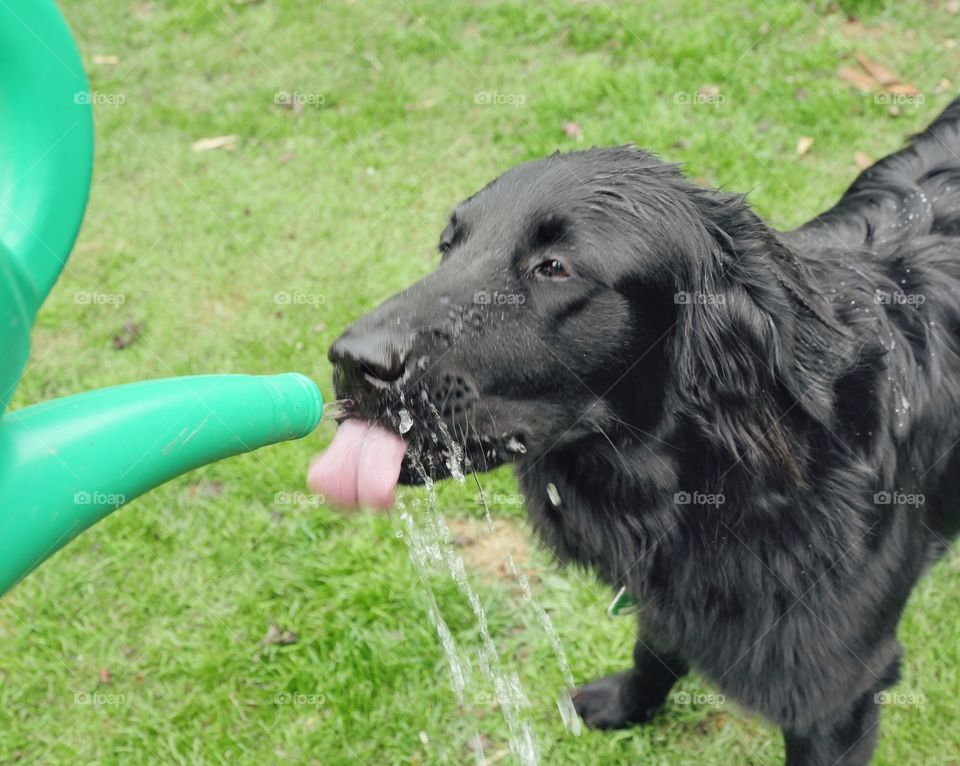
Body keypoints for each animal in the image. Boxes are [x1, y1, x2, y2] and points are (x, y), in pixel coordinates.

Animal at [326, 97, 960, 766]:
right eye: (447, 247)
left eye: (554, 268)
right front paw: (628, 704)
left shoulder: (837, 697)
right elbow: (653, 645)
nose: (349, 361)